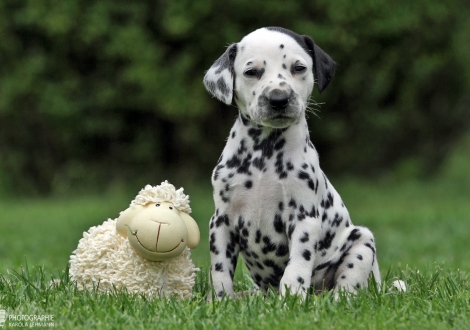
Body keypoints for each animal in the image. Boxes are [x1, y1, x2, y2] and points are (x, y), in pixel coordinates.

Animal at [204, 26, 380, 300]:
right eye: (251, 72)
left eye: (298, 68)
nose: (279, 98)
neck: (264, 152)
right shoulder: (221, 221)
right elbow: (220, 268)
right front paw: (221, 300)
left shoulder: (303, 218)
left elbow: (298, 263)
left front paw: (293, 297)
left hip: (362, 243)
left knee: (348, 287)